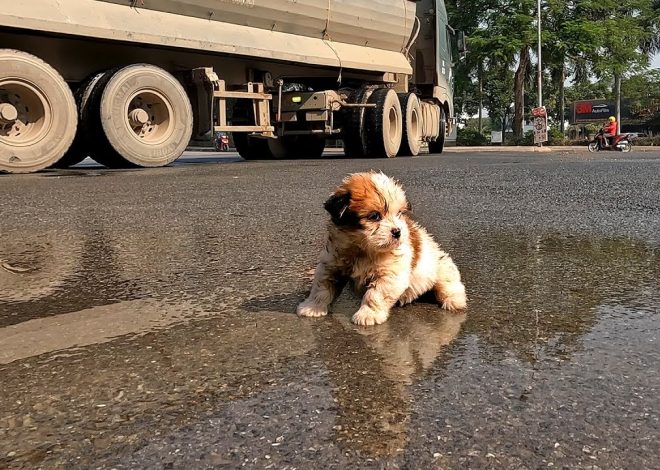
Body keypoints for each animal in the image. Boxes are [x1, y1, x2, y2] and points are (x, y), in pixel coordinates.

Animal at [296, 170, 466, 326]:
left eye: (399, 213)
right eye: (374, 216)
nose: (397, 232)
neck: (362, 250)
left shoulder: (390, 274)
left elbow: (374, 294)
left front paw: (368, 315)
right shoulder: (332, 264)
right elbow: (321, 287)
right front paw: (312, 307)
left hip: (442, 268)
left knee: (448, 285)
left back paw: (454, 301)